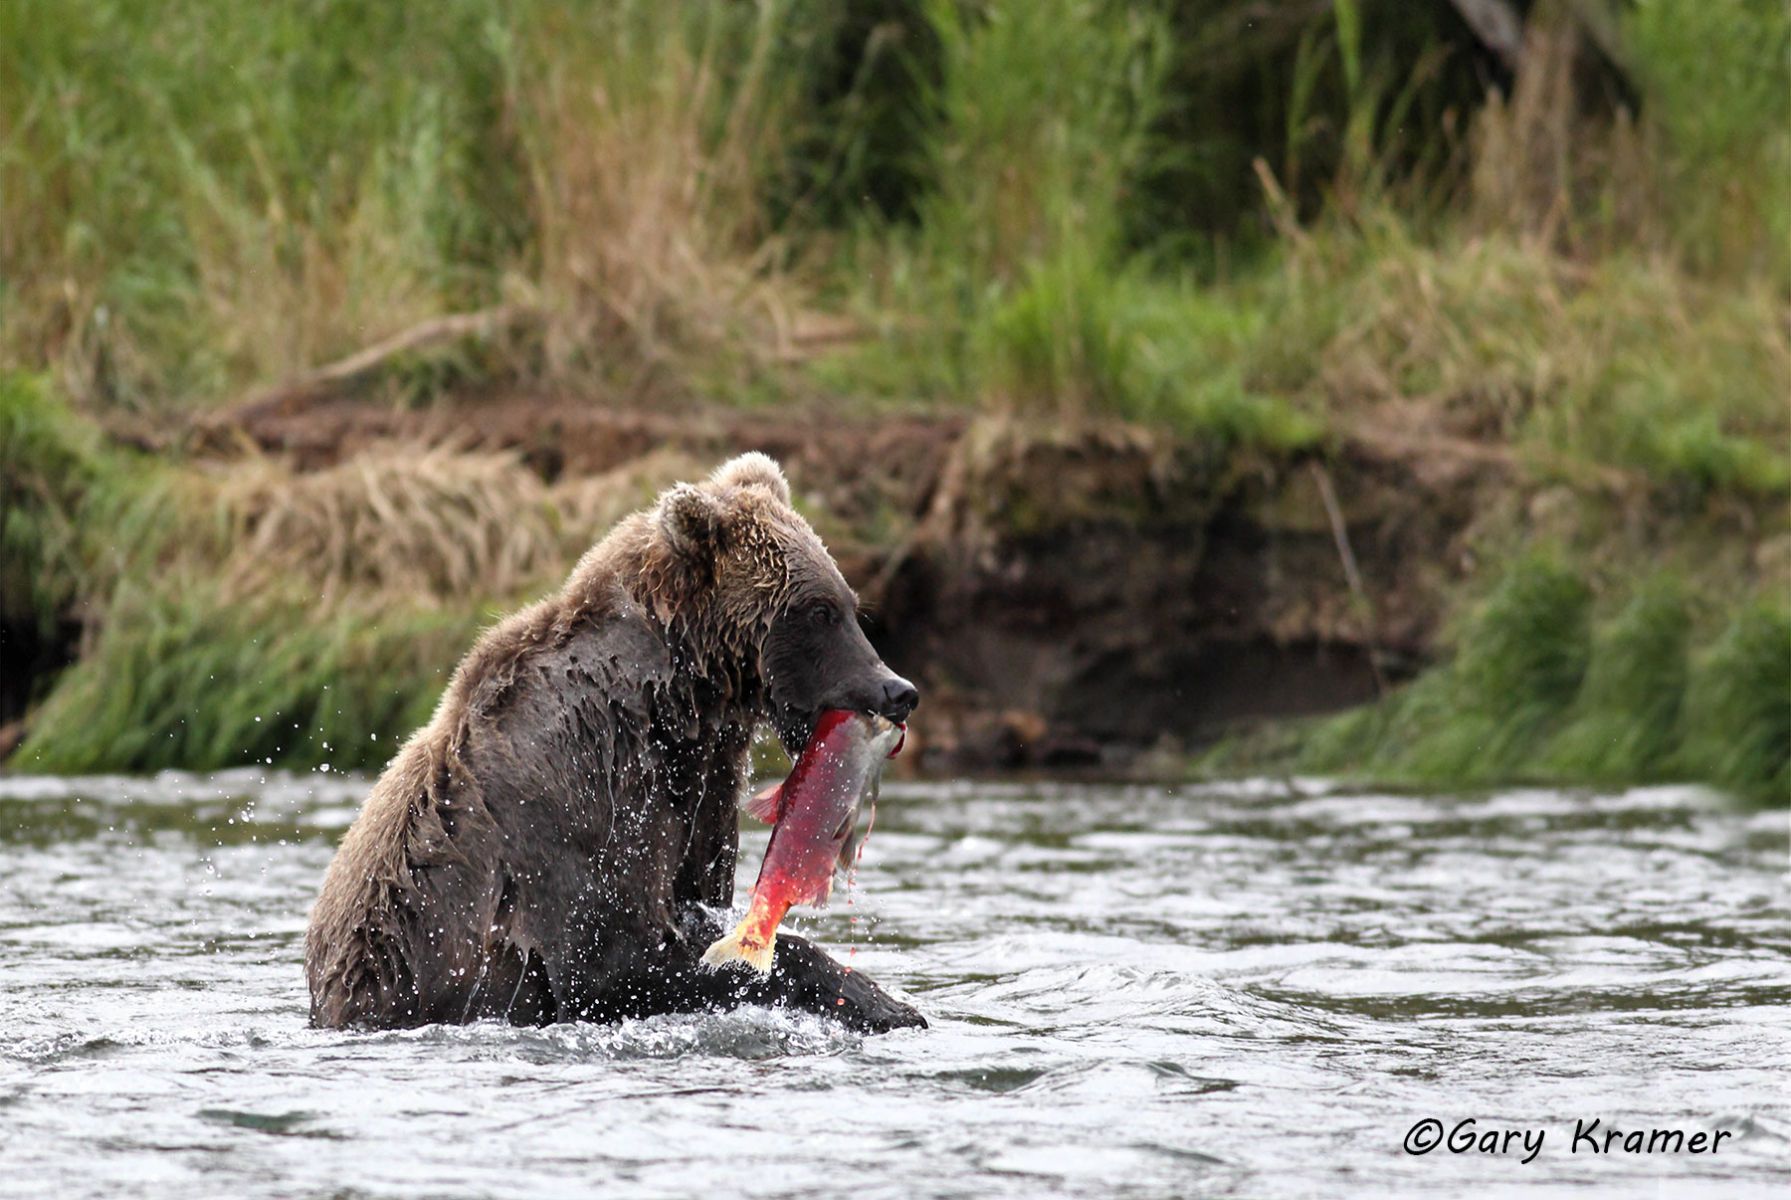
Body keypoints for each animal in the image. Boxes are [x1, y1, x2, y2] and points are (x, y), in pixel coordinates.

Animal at [304, 452, 924, 1033]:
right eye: (819, 611)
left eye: (850, 604)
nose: (899, 690)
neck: (673, 702)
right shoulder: (579, 797)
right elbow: (611, 961)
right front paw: (883, 1002)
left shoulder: (698, 789)